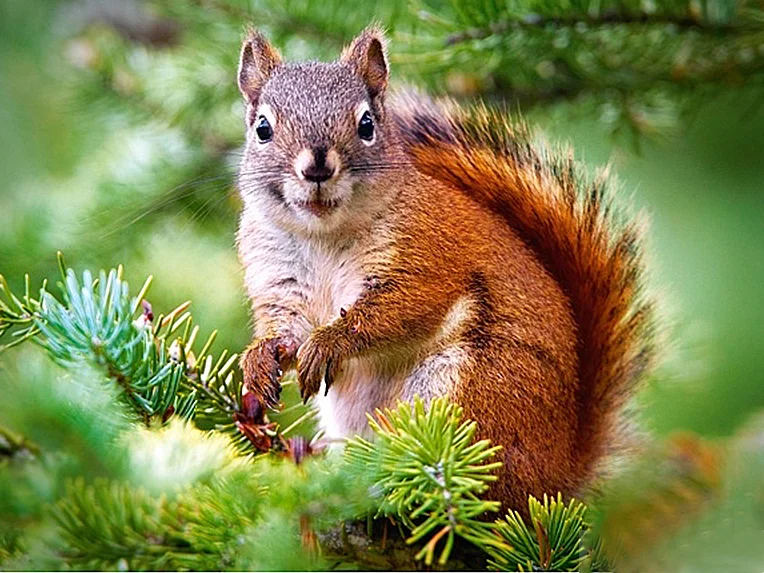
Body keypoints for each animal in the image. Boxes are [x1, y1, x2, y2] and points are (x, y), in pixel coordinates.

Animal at [235, 26, 656, 511]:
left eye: (367, 125)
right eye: (262, 128)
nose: (317, 165)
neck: (323, 235)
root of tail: (558, 475)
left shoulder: (427, 257)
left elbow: (396, 310)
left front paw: (328, 343)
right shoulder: (278, 278)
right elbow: (285, 330)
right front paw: (260, 360)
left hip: (467, 391)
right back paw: (319, 459)